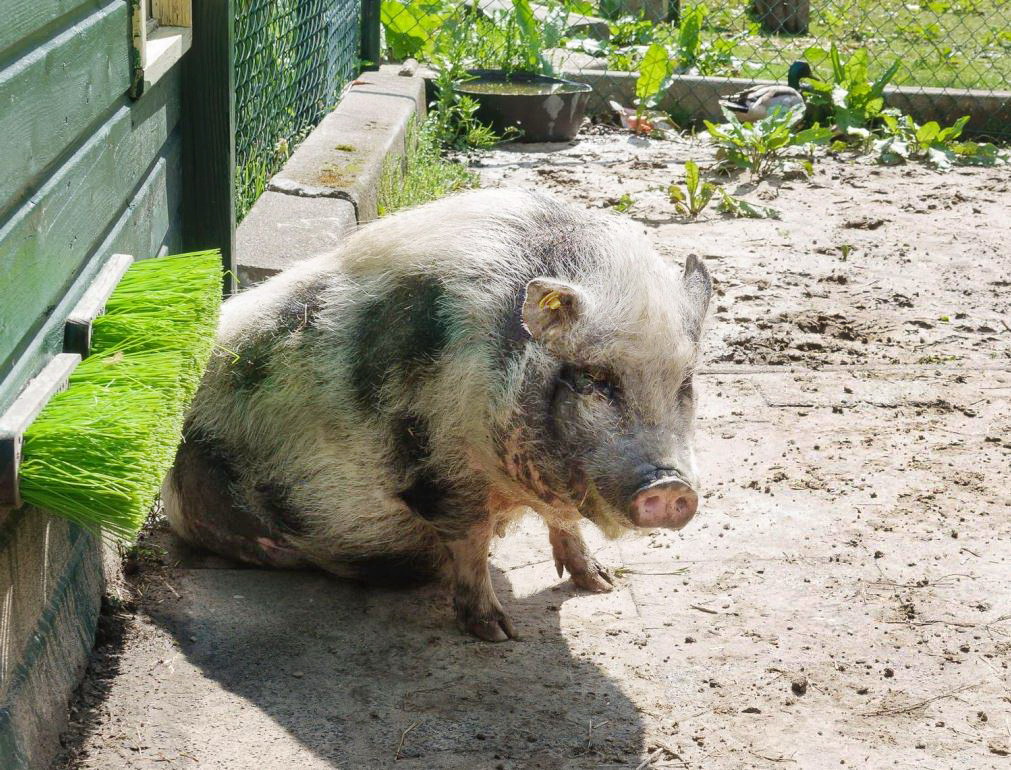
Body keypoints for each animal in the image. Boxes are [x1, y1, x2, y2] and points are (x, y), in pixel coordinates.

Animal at [161, 188, 711, 638]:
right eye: (596, 379)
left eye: (684, 383)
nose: (670, 486)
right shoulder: (437, 468)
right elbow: (471, 543)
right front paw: (498, 633)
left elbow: (562, 521)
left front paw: (601, 584)